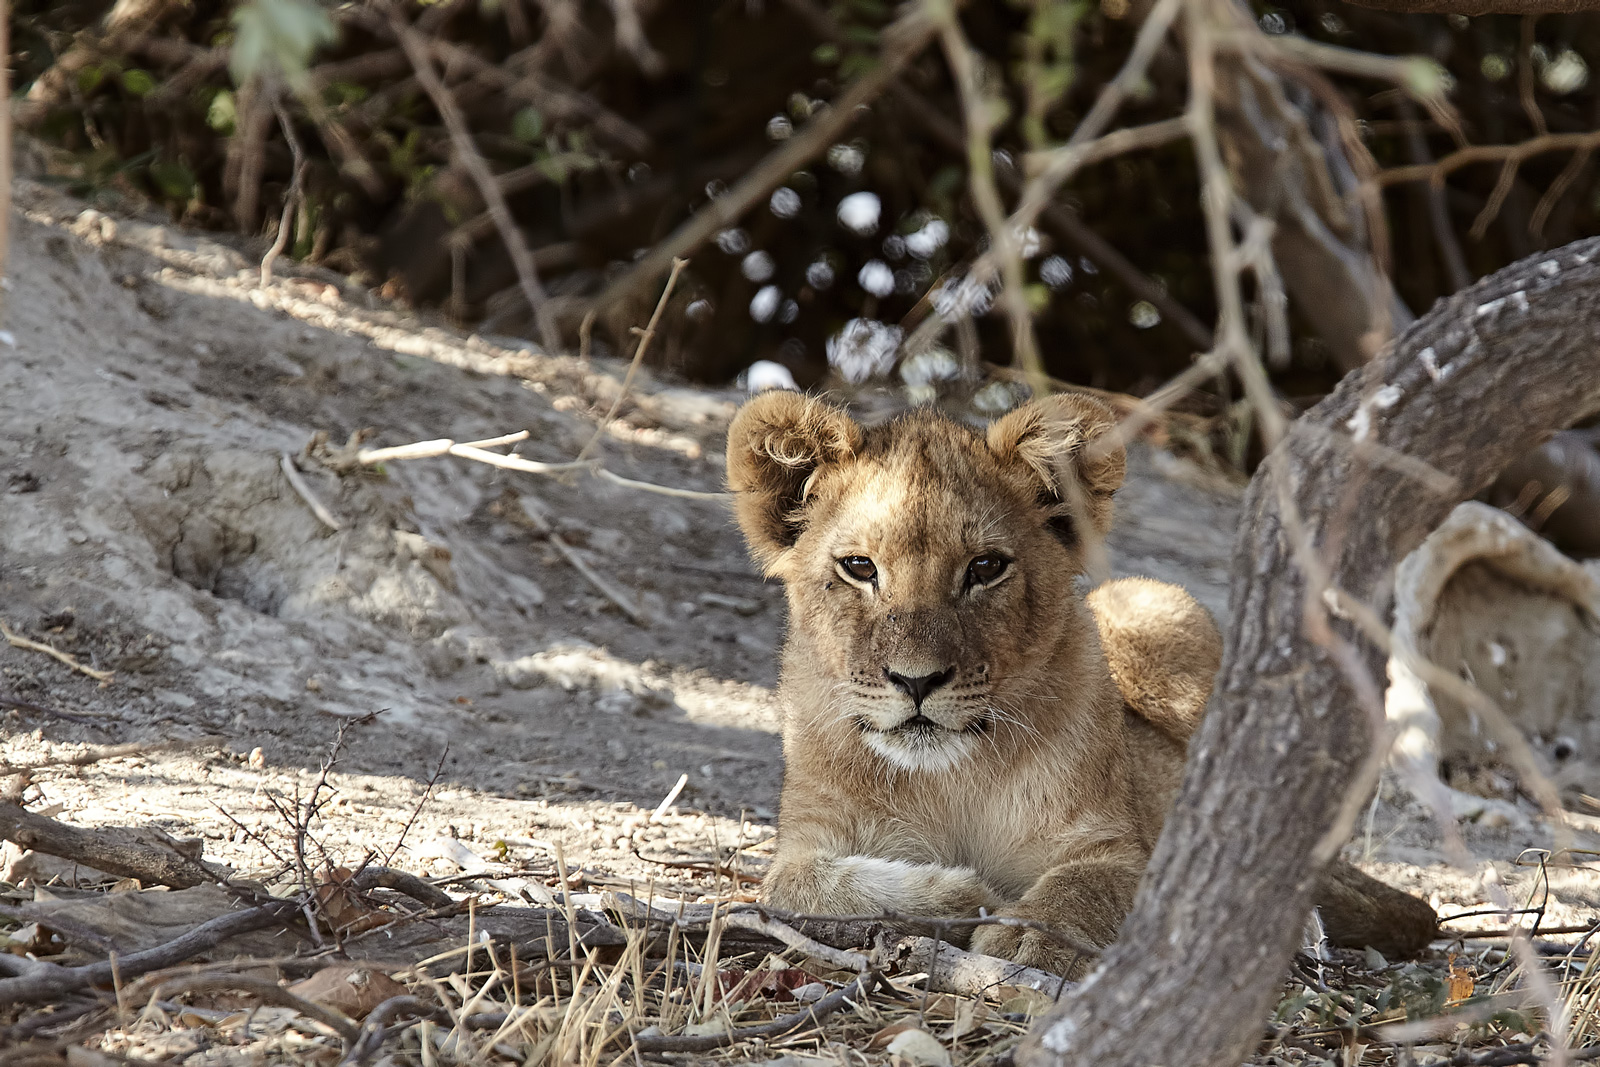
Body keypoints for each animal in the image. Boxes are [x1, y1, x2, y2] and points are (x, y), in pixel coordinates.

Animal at [725, 389, 1437, 977]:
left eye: (985, 568)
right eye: (858, 567)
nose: (916, 681)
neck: (948, 778)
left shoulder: (1119, 849)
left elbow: (1083, 888)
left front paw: (1027, 936)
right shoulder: (805, 844)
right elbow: (801, 891)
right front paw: (963, 898)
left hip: (1149, 607)